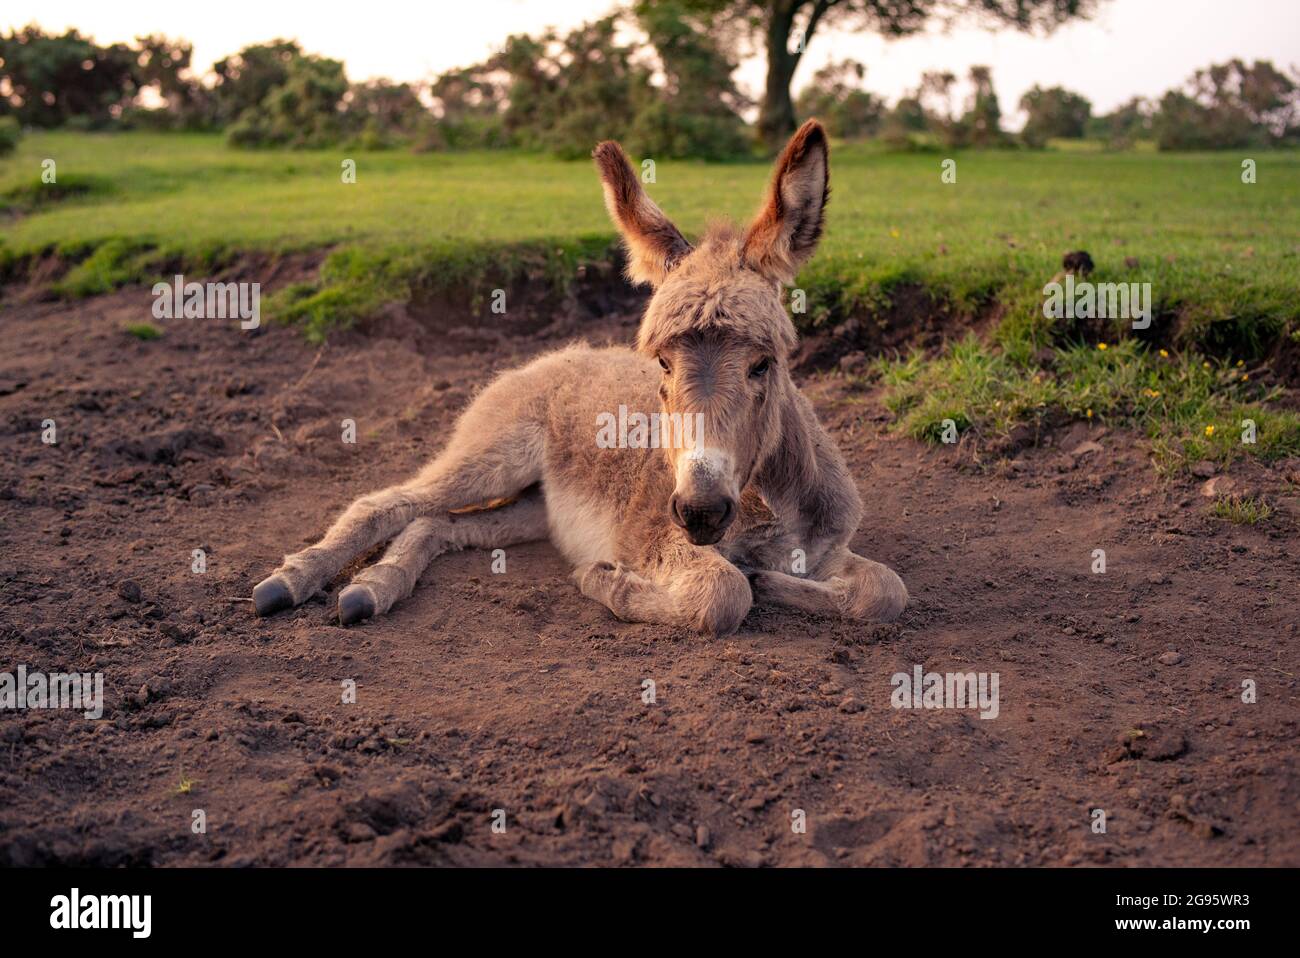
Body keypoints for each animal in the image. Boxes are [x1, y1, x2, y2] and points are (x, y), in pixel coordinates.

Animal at [253, 121, 904, 634]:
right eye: (661, 363)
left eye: (764, 363)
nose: (700, 511)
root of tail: (552, 356)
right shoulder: (655, 538)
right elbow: (724, 594)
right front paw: (604, 578)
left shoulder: (824, 545)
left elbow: (884, 591)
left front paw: (773, 581)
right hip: (496, 457)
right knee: (387, 501)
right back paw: (292, 581)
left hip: (535, 506)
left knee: (437, 524)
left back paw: (375, 587)